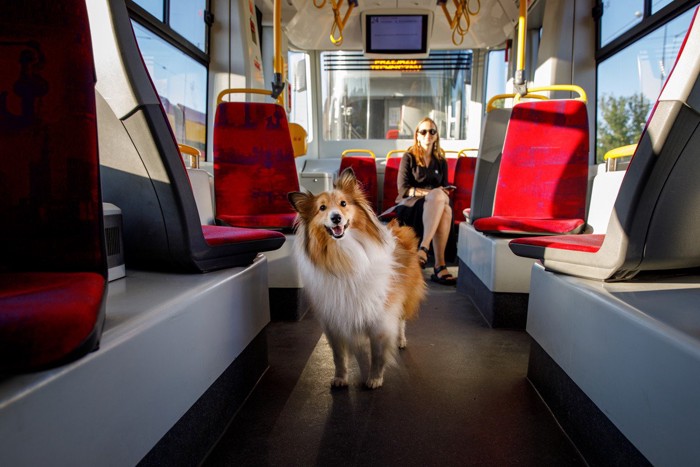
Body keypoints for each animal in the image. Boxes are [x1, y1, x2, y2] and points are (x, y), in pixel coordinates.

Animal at [286, 170, 426, 390]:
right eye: (322, 208)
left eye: (343, 203)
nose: (336, 217)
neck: (344, 254)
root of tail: (398, 231)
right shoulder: (335, 321)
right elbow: (339, 356)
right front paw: (341, 378)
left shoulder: (379, 318)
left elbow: (378, 354)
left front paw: (375, 378)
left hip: (403, 298)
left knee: (401, 321)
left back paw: (401, 340)